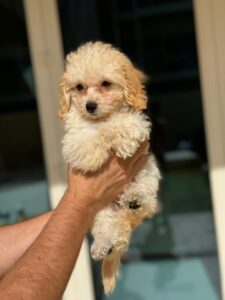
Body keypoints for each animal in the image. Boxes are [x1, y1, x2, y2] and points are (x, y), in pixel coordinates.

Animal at [58, 41, 160, 294]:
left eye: (106, 83)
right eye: (79, 87)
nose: (90, 106)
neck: (100, 118)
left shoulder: (138, 126)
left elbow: (124, 124)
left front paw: (123, 138)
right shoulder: (75, 143)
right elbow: (97, 136)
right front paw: (108, 136)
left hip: (147, 171)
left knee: (147, 202)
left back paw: (134, 199)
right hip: (99, 212)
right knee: (110, 230)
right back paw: (103, 246)